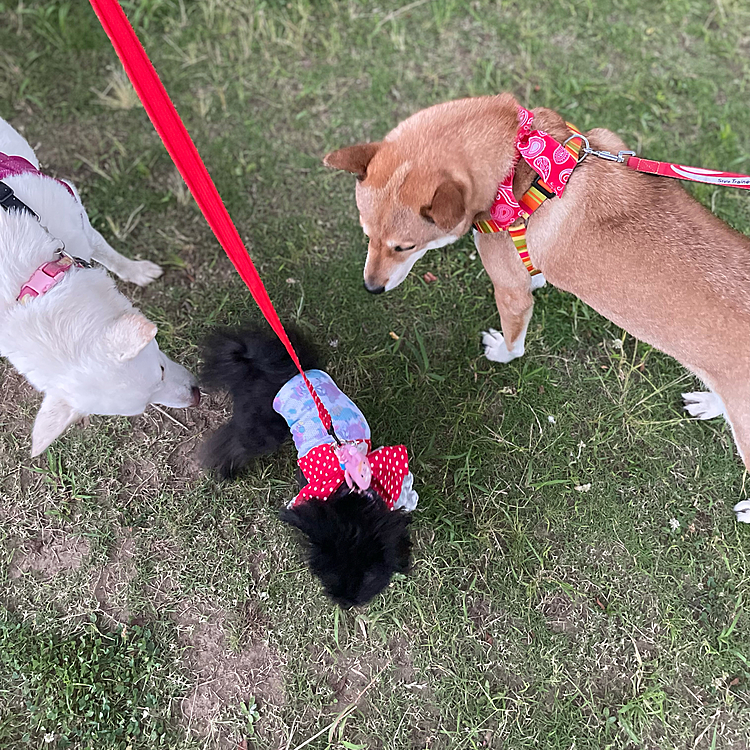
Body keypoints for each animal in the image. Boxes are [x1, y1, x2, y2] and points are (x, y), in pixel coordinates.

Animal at [0, 118, 200, 458]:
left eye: (161, 369)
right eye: (143, 406)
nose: (196, 396)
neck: (28, 286)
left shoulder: (75, 213)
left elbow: (105, 251)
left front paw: (137, 271)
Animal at [200, 326, 418, 608]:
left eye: (369, 575)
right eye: (328, 572)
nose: (345, 601)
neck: (352, 493)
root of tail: (265, 364)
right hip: (263, 427)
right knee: (232, 442)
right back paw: (224, 471)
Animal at [326, 91, 750, 524]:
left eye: (405, 247)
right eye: (367, 234)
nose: (371, 287)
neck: (523, 163)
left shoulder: (510, 293)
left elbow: (514, 344)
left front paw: (501, 351)